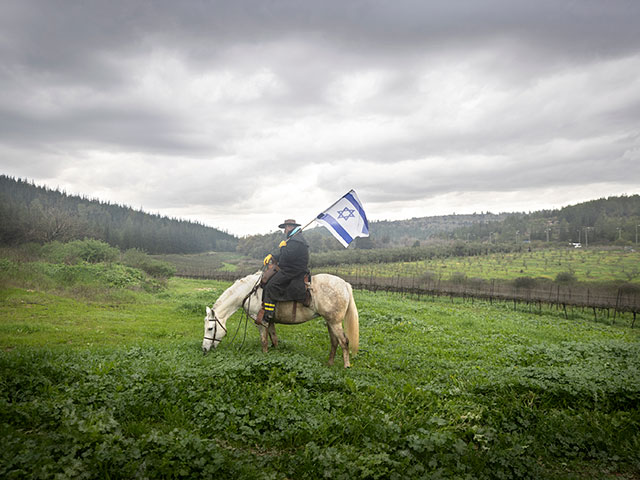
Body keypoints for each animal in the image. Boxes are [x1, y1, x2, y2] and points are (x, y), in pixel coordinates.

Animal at [201, 272, 360, 370]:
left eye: (210, 328)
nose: (204, 349)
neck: (249, 292)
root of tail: (345, 284)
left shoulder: (261, 322)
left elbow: (264, 341)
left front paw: (264, 356)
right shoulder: (270, 322)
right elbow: (274, 339)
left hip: (334, 322)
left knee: (344, 341)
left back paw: (346, 365)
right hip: (330, 322)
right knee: (334, 342)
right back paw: (330, 363)